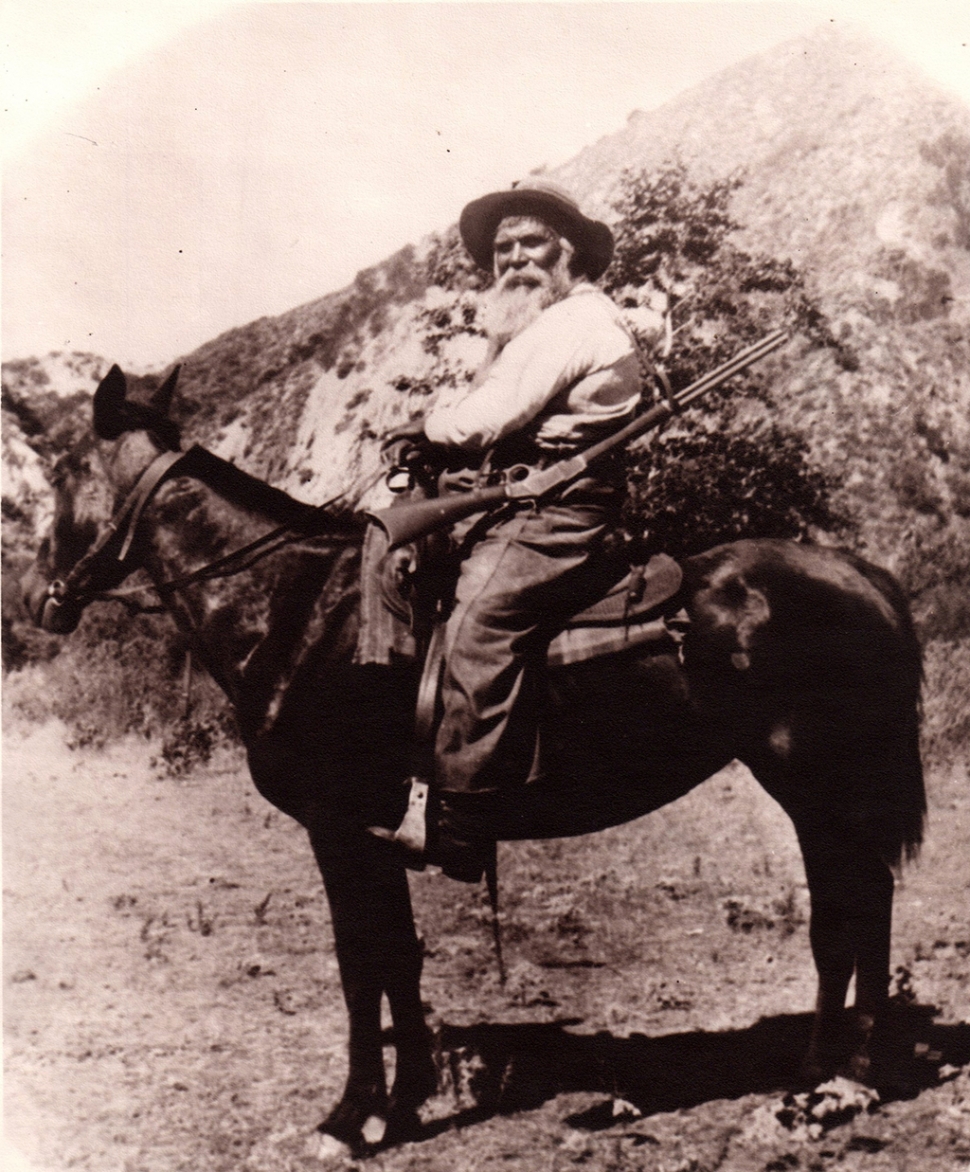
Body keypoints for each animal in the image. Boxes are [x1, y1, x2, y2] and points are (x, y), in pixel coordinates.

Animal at [22, 368, 923, 1153]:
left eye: (63, 472)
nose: (35, 596)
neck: (300, 613)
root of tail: (861, 573)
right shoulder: (378, 835)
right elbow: (398, 957)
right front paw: (405, 1101)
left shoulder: (337, 828)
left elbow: (362, 964)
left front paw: (351, 1118)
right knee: (855, 908)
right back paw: (836, 1071)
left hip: (817, 785)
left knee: (852, 908)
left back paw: (840, 1081)